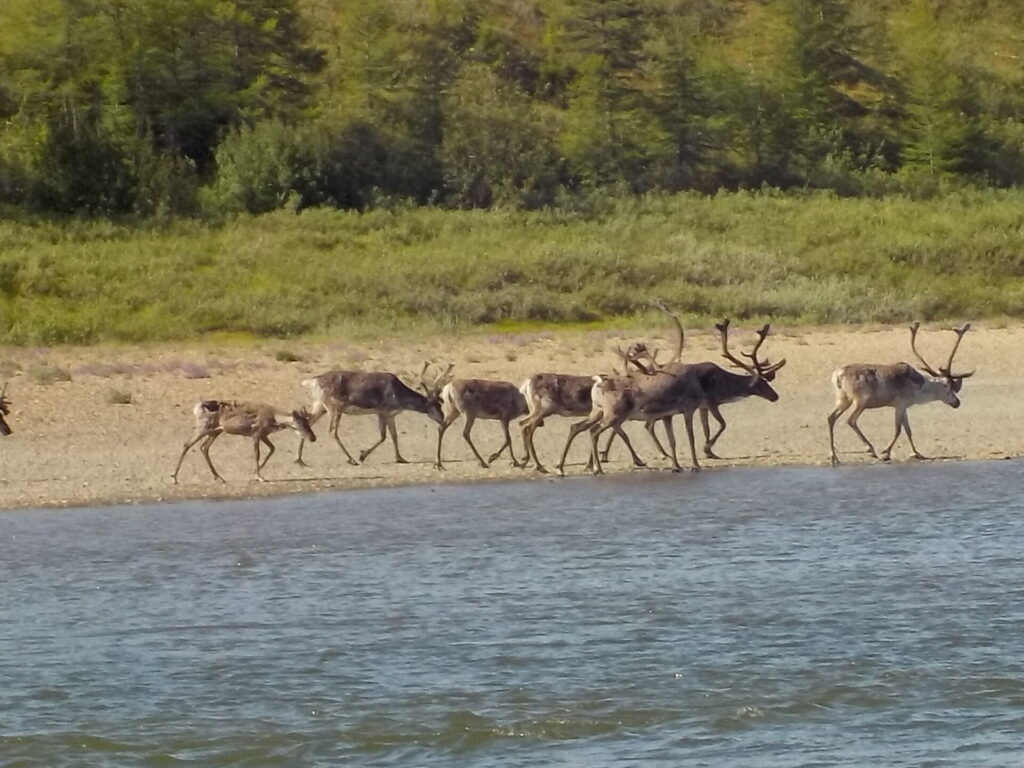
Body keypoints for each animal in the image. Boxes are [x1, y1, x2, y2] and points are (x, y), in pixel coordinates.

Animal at [172, 399, 315, 483]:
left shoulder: (263, 435)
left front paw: (256, 473)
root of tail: (197, 407)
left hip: (216, 431)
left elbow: (272, 449)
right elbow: (257, 454)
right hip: (204, 428)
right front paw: (259, 476)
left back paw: (219, 477)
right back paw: (174, 477)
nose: (313, 438)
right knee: (187, 444)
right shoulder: (256, 434)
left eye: (307, 422)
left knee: (204, 447)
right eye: (301, 423)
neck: (274, 419)